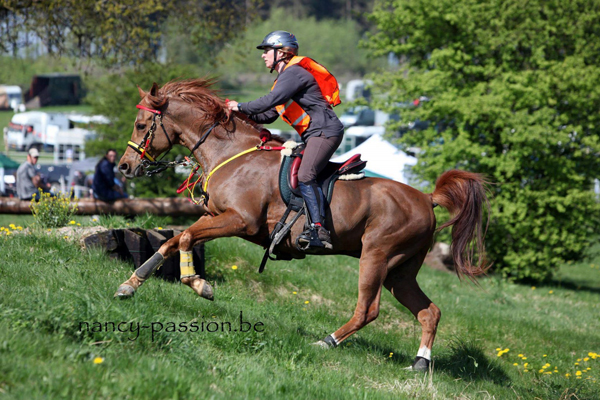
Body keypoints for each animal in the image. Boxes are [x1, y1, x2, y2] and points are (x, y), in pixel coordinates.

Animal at [115, 79, 490, 372]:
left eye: (140, 124)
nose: (124, 167)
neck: (232, 153)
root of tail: (426, 198)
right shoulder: (215, 216)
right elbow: (173, 241)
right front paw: (131, 284)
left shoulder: (240, 221)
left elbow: (186, 239)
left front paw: (199, 284)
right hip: (401, 272)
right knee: (429, 312)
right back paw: (420, 362)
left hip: (377, 257)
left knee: (368, 310)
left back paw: (327, 342)